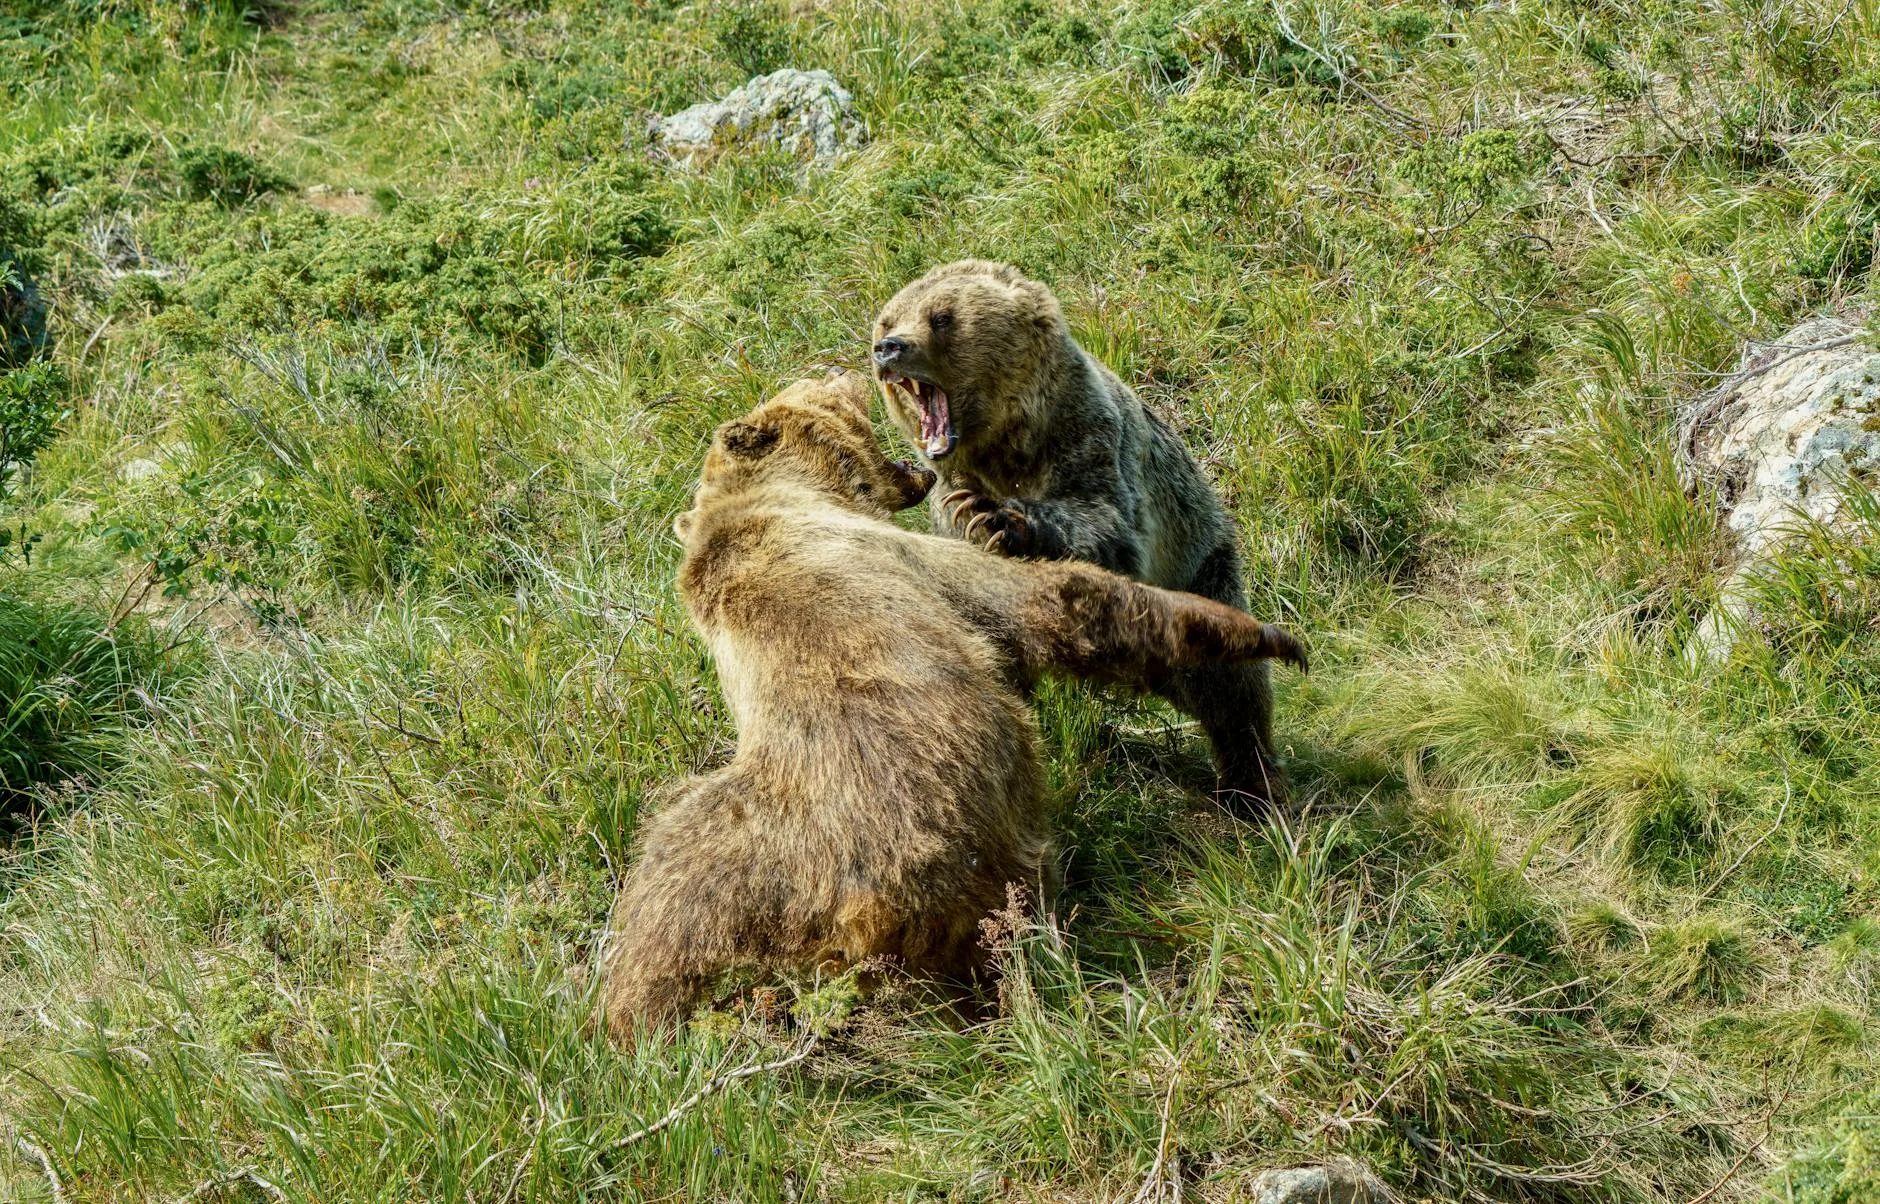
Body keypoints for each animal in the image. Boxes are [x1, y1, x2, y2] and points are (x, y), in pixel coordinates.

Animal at [600, 369, 1306, 1040]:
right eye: (810, 392)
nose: (841, 370)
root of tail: (863, 912)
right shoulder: (886, 553)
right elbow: (1051, 598)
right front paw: (1263, 636)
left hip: (744, 863)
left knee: (662, 903)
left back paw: (628, 1019)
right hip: (953, 837)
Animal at [871, 260, 1289, 814]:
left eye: (941, 317)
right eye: (886, 318)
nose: (889, 347)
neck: (1009, 441)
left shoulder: (1088, 438)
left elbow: (1105, 527)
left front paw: (999, 518)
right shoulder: (947, 488)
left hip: (1200, 564)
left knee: (1231, 684)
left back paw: (1251, 784)